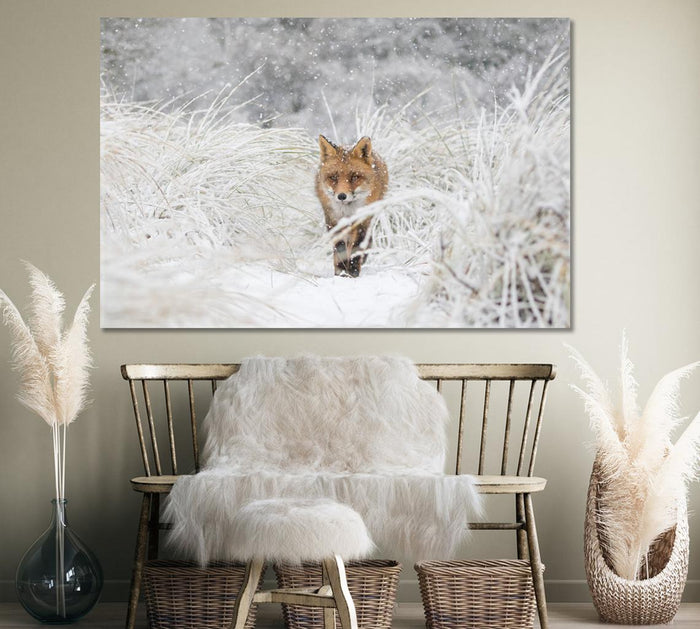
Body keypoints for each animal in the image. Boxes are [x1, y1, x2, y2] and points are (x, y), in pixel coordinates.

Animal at [315, 135, 388, 277]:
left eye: (354, 177)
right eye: (333, 177)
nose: (341, 196)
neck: (347, 211)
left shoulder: (362, 220)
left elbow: (357, 245)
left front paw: (353, 271)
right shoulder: (333, 220)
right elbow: (340, 248)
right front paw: (341, 271)